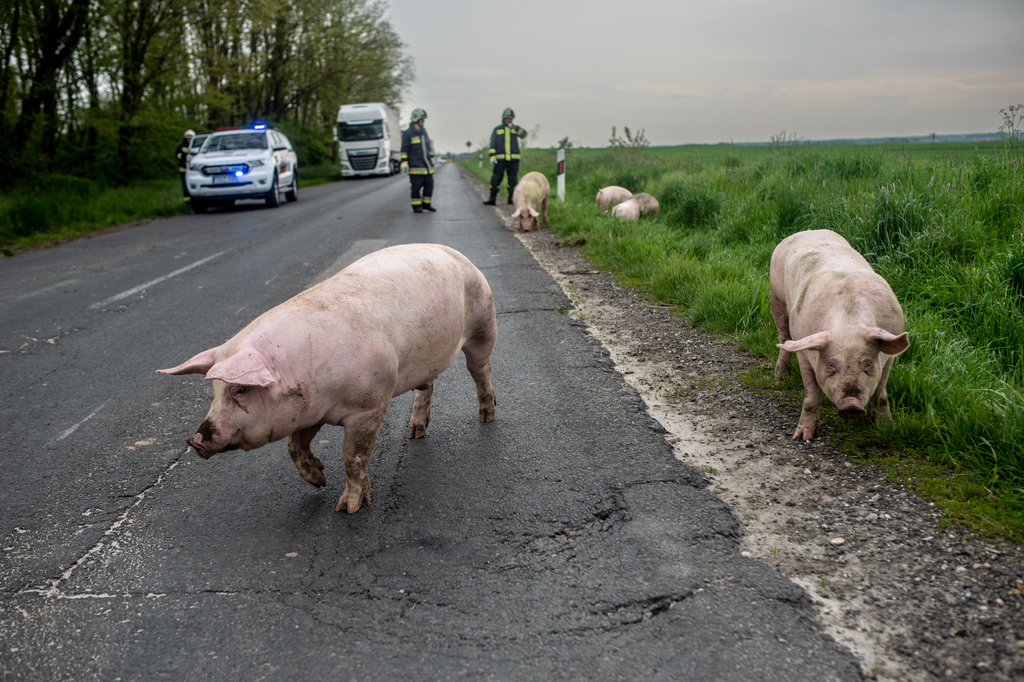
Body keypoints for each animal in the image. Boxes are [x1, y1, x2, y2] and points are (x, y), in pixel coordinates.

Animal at [157, 241, 497, 512]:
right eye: (214, 391)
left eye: (240, 390)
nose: (195, 440)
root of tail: (453, 251)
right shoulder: (309, 411)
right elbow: (294, 446)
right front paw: (319, 481)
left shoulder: (369, 406)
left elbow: (354, 458)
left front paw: (347, 509)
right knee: (426, 388)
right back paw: (414, 433)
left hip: (484, 322)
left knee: (480, 371)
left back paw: (487, 416)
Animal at [770, 229, 913, 440]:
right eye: (831, 364)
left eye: (868, 364)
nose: (851, 406)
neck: (849, 322)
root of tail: (807, 231)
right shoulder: (804, 351)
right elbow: (811, 395)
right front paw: (803, 437)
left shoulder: (888, 355)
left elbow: (881, 393)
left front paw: (886, 426)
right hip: (776, 298)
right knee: (784, 338)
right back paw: (780, 379)